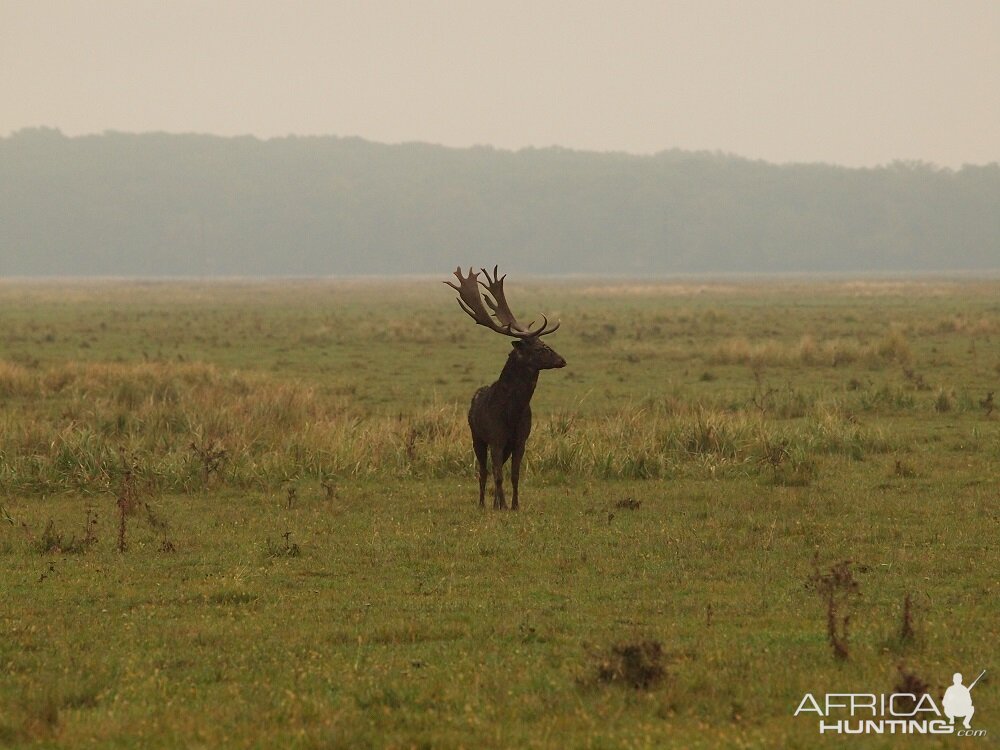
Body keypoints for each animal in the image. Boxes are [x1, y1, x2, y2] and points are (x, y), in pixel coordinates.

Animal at [444, 266, 564, 512]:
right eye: (539, 348)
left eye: (544, 344)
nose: (562, 360)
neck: (511, 413)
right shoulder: (495, 438)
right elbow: (497, 475)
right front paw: (502, 505)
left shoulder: (520, 440)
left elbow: (514, 475)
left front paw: (515, 505)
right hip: (477, 437)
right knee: (483, 471)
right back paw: (483, 503)